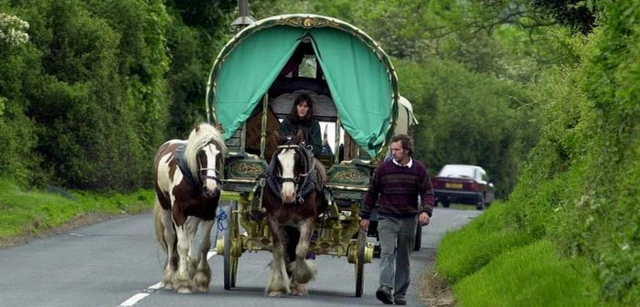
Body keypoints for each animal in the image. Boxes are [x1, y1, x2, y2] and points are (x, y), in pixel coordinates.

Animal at [152, 122, 228, 294]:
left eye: (219, 154)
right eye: (201, 154)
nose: (211, 189)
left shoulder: (208, 214)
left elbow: (204, 246)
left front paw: (201, 278)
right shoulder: (178, 212)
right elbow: (182, 245)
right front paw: (183, 281)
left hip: (195, 214)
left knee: (190, 231)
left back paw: (190, 266)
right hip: (165, 207)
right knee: (170, 237)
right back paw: (170, 276)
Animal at [262, 129, 328, 296]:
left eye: (297, 160)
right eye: (278, 161)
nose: (288, 194)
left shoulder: (308, 220)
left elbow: (301, 249)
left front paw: (301, 278)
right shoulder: (273, 219)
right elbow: (279, 250)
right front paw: (277, 286)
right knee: (286, 248)